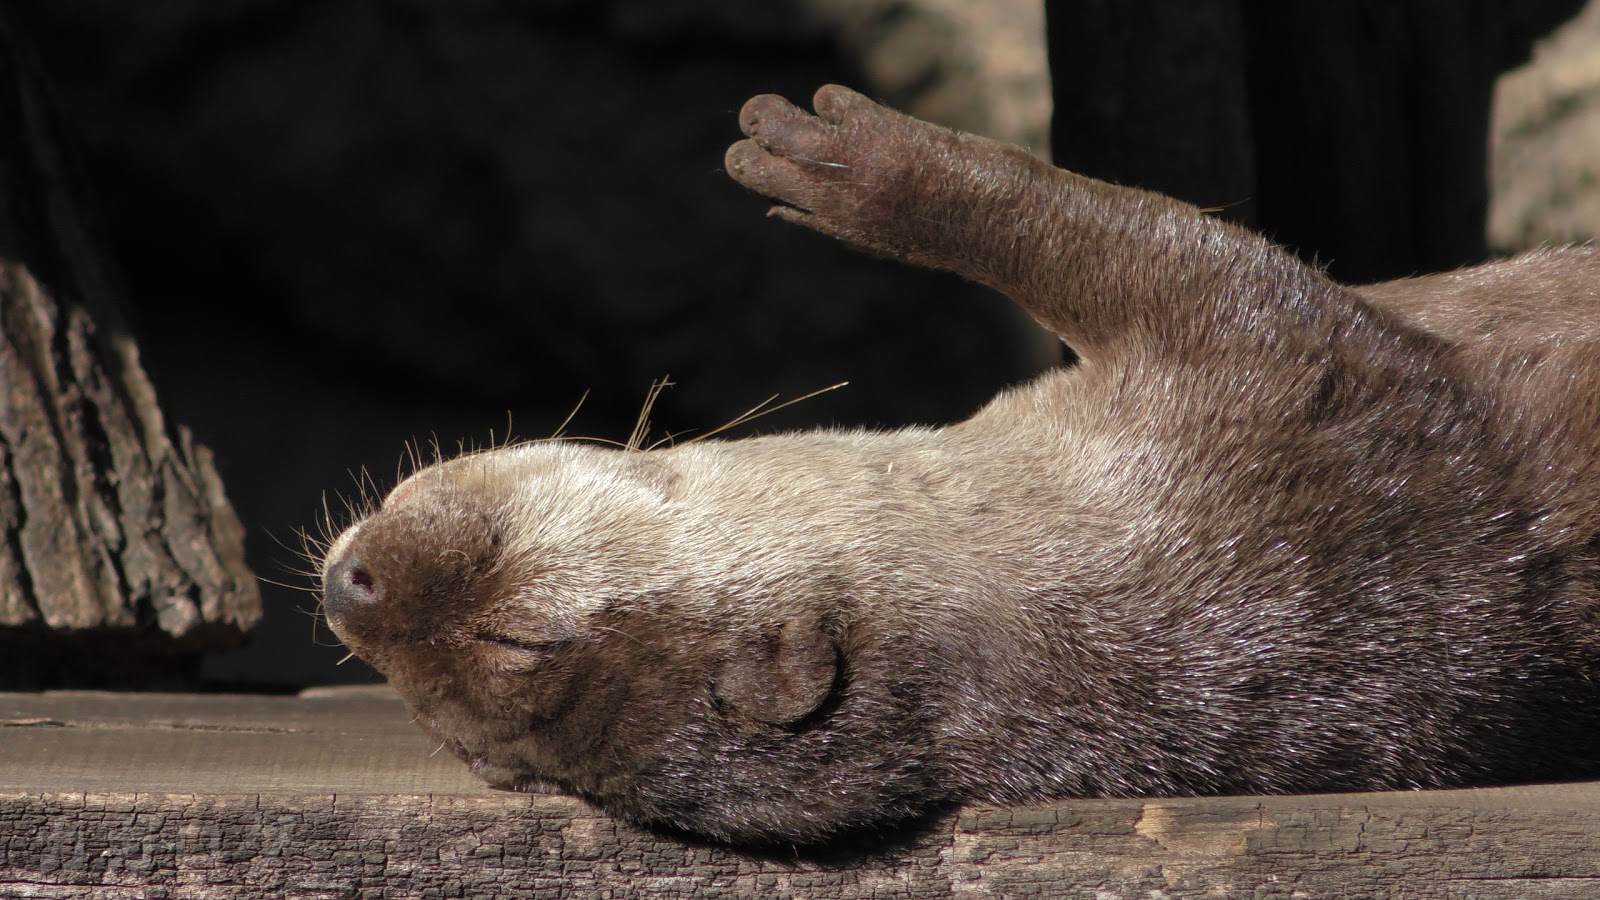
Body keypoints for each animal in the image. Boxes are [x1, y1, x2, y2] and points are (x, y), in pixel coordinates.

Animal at [318, 82, 1600, 839]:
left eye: (513, 638)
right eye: (478, 750)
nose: (351, 585)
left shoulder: (1275, 376)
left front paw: (849, 166)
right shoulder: (1272, 396)